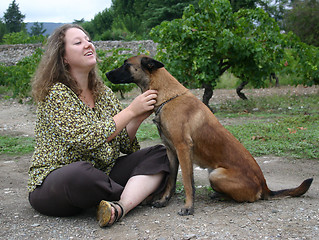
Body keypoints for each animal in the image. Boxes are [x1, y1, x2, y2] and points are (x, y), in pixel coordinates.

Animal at [106, 54, 314, 216]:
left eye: (126, 64)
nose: (106, 73)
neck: (167, 96)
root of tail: (264, 186)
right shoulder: (171, 151)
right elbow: (171, 180)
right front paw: (164, 200)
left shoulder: (183, 148)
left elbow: (188, 182)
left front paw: (188, 207)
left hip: (216, 175)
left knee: (246, 198)